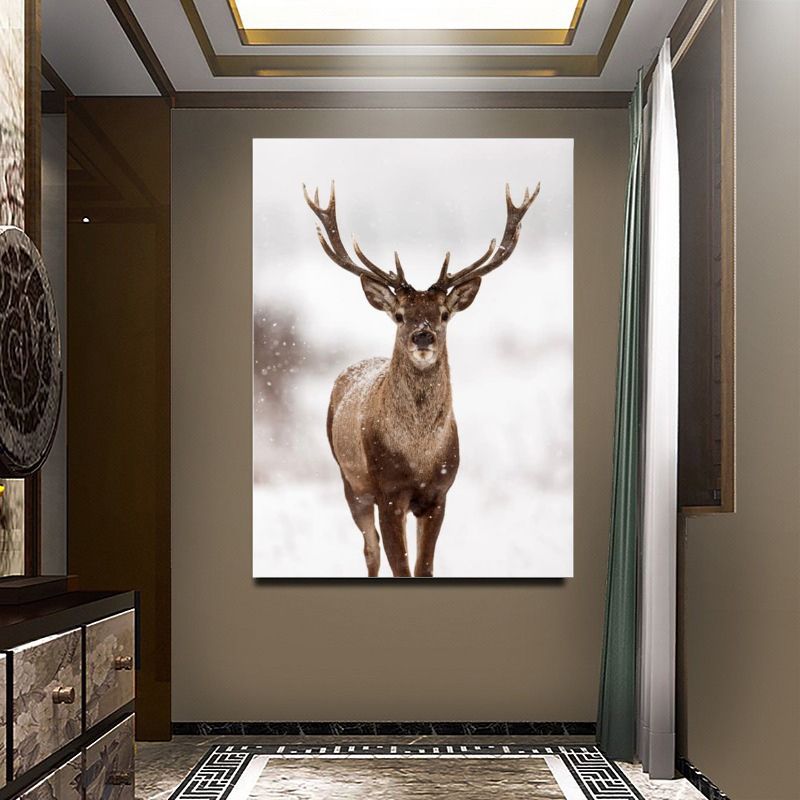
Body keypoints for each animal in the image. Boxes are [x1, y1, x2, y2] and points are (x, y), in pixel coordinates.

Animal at [303, 181, 540, 577]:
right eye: (400, 315)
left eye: (443, 313)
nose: (423, 336)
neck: (419, 456)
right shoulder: (388, 491)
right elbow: (400, 567)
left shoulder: (439, 492)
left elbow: (423, 567)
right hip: (350, 480)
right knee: (370, 550)